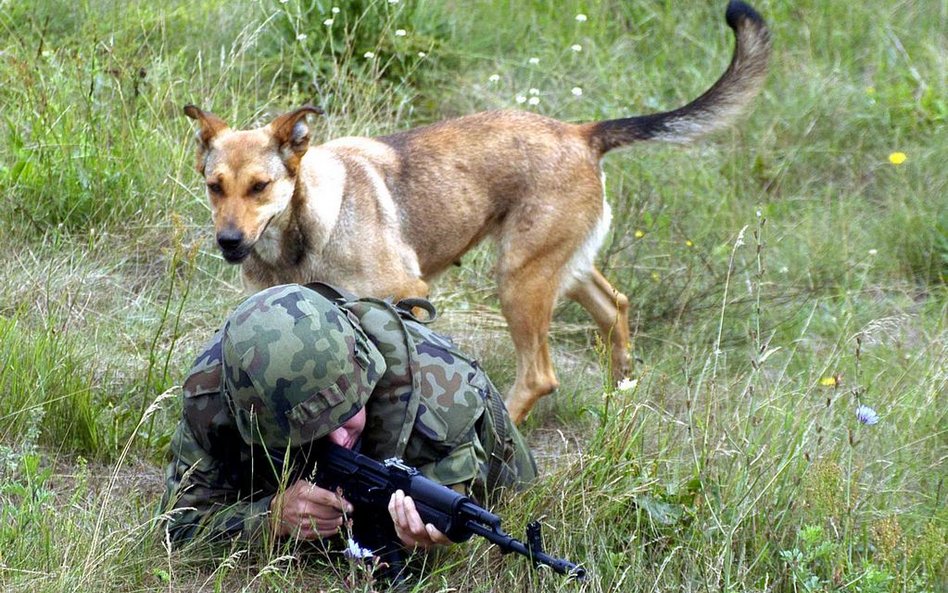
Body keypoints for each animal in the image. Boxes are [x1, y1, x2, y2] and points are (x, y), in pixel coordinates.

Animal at [185, 2, 772, 424]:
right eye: (214, 187)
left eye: (260, 187)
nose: (229, 242)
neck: (302, 235)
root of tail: (582, 133)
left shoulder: (407, 293)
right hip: (556, 267)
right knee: (615, 306)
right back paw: (622, 385)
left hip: (518, 278)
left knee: (540, 375)